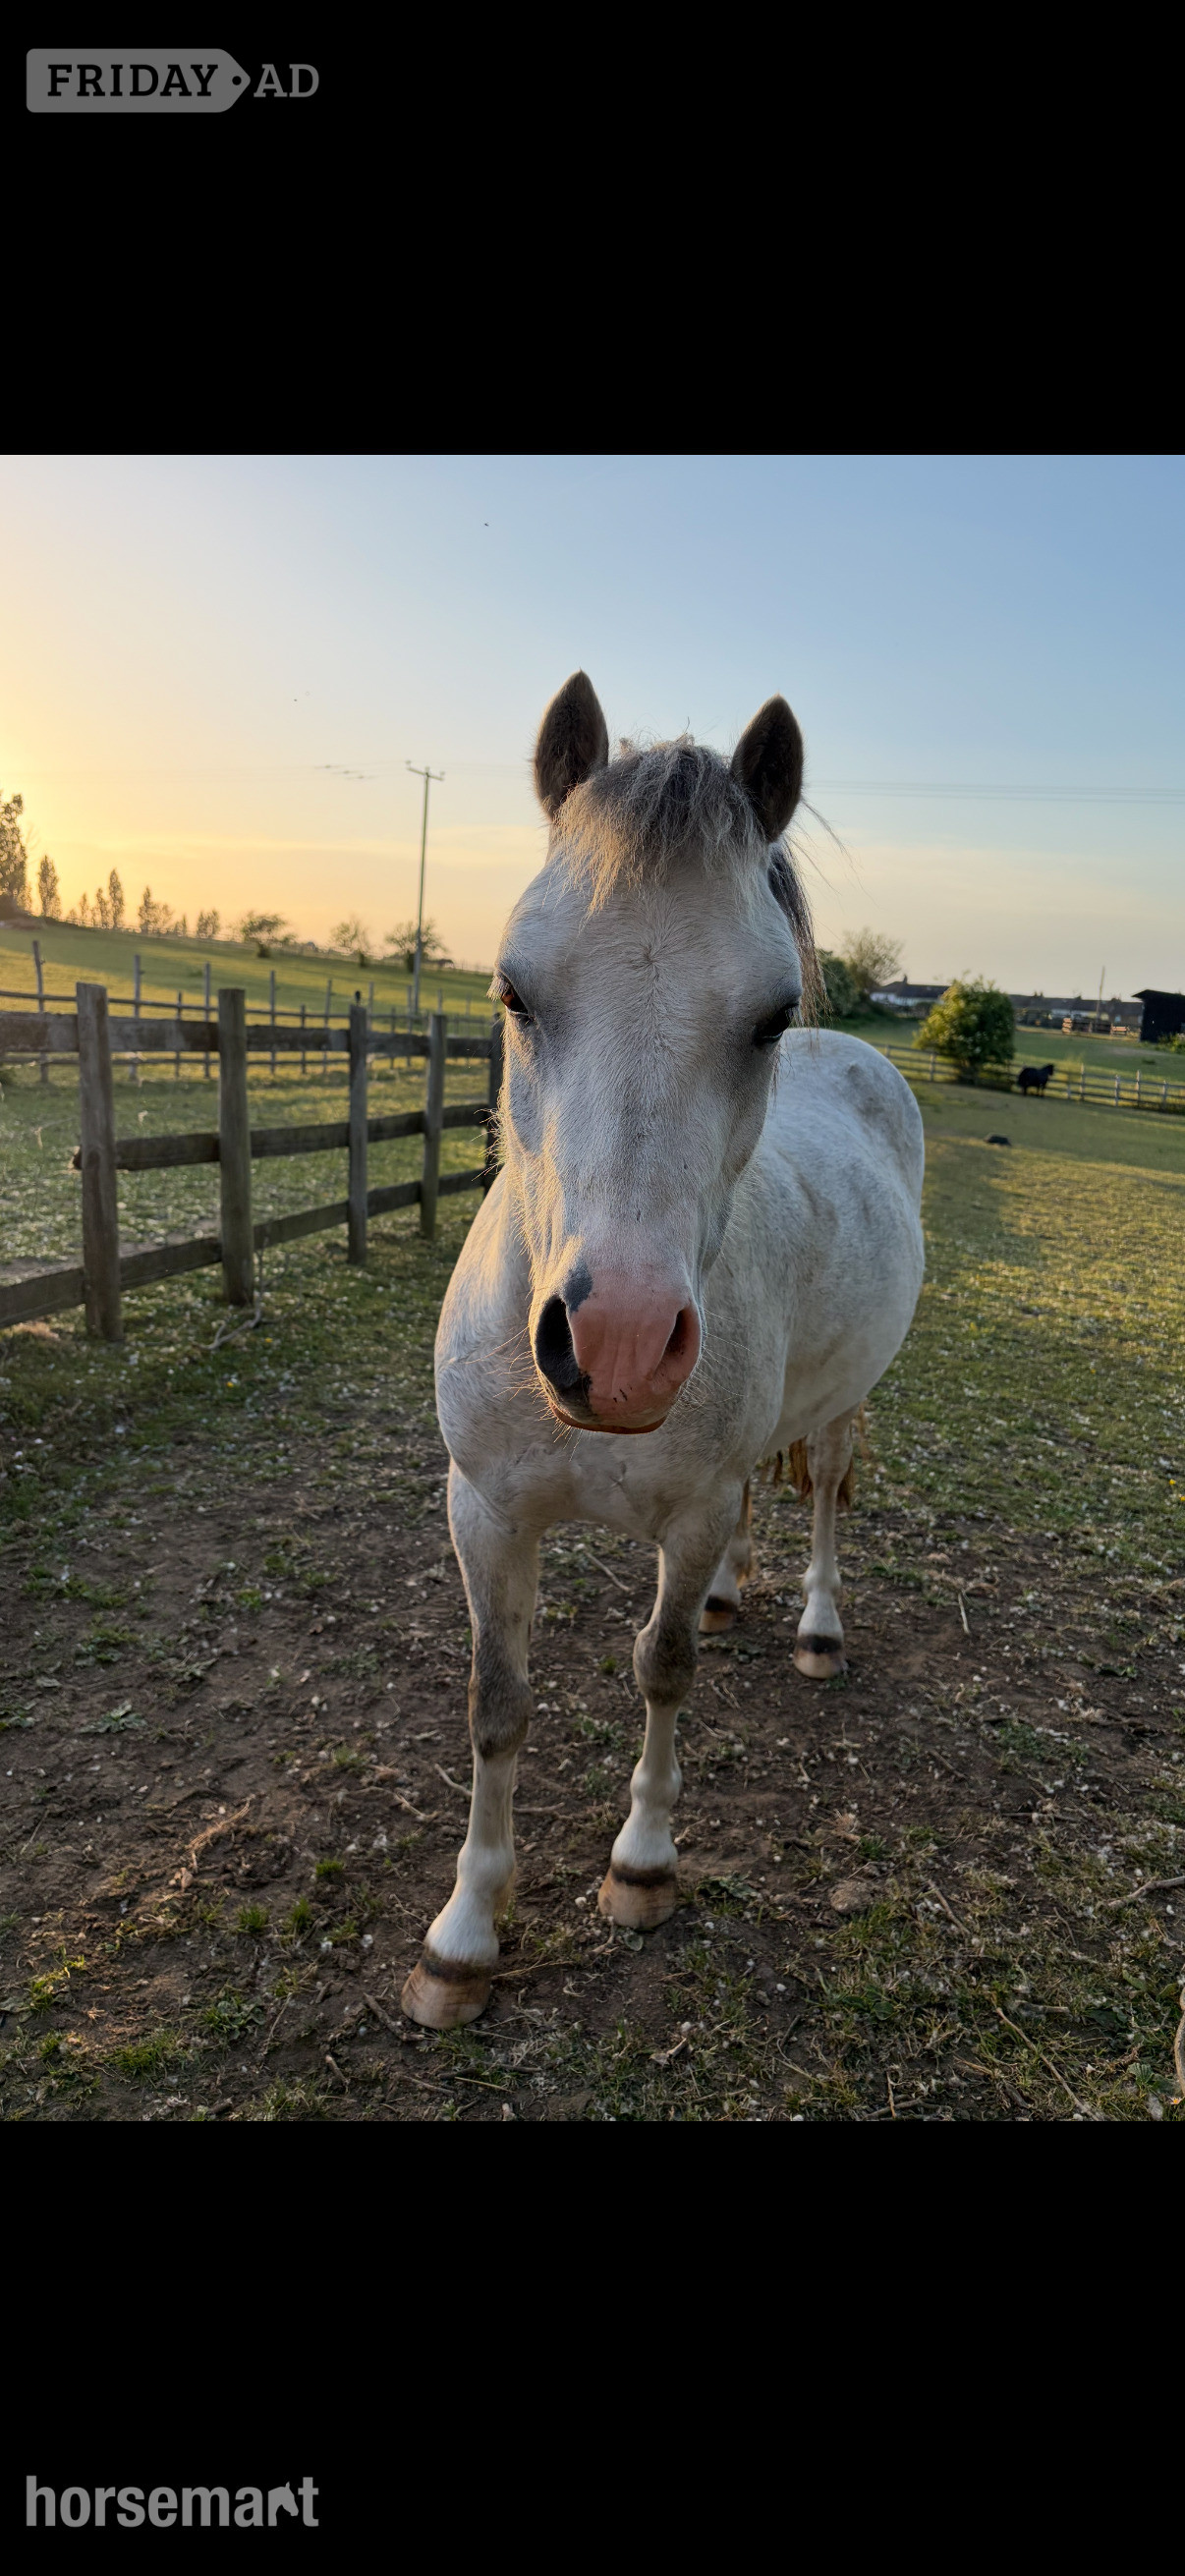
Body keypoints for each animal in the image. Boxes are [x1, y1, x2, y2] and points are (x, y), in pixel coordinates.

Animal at [401, 673, 925, 2028]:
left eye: (771, 1016)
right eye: (513, 990)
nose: (619, 1345)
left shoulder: (680, 1519)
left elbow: (663, 1666)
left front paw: (641, 1865)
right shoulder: (485, 1512)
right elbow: (497, 1704)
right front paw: (464, 1933)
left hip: (844, 1406)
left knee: (824, 1490)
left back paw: (815, 1626)